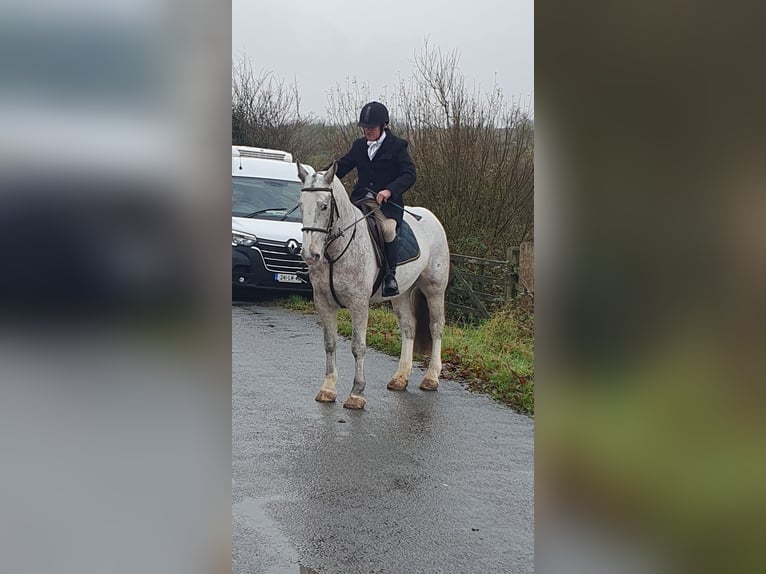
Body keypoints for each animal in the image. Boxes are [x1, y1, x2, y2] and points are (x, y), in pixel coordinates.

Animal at [296, 160, 452, 412]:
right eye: (301, 205)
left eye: (324, 206)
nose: (310, 254)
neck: (334, 254)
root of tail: (430, 217)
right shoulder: (324, 302)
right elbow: (329, 344)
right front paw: (328, 389)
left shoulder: (358, 304)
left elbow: (358, 346)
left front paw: (356, 393)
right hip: (401, 294)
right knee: (409, 327)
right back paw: (400, 377)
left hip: (434, 288)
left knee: (436, 326)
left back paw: (431, 378)